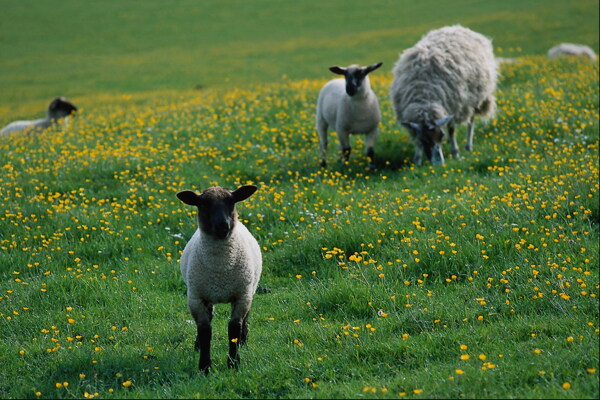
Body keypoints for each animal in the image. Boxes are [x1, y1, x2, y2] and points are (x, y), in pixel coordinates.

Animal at [177, 185, 264, 376]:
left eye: (231, 201)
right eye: (203, 204)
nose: (223, 225)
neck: (220, 269)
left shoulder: (241, 296)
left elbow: (234, 328)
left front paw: (233, 363)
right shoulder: (196, 298)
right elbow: (205, 330)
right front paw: (204, 366)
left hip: (249, 289)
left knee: (246, 317)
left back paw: (243, 341)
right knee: (208, 318)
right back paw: (197, 346)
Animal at [390, 24, 496, 165]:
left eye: (441, 136)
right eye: (425, 140)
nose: (439, 164)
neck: (425, 97)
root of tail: (456, 27)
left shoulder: (453, 106)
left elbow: (451, 130)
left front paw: (455, 152)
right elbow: (417, 139)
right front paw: (417, 160)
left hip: (473, 99)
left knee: (471, 121)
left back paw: (468, 146)